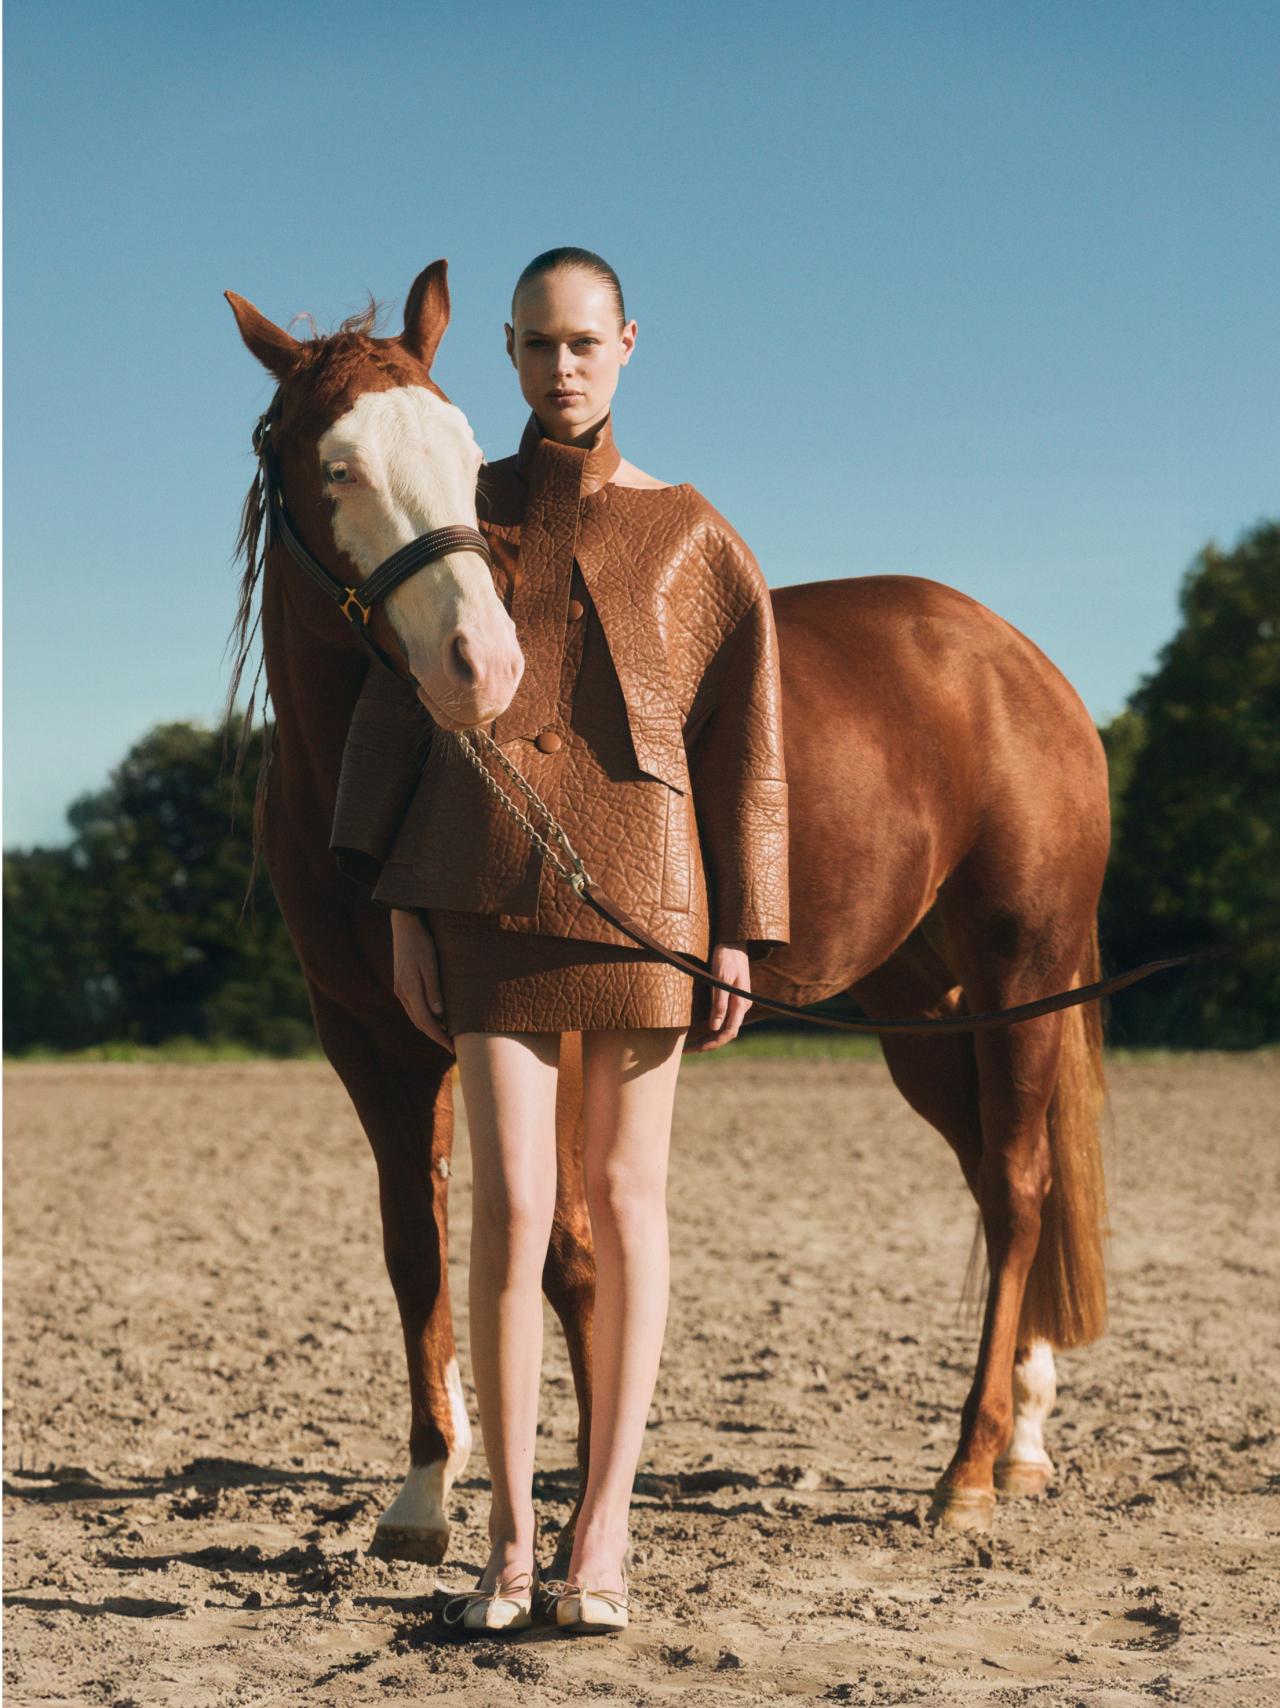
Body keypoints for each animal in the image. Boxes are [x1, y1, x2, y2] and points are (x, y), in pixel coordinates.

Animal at [225, 258, 1110, 1544]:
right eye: (333, 464)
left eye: (463, 450)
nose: (478, 663)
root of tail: (1020, 665)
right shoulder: (371, 1040)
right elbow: (413, 1245)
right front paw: (426, 1488)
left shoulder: (555, 1021)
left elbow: (570, 1254)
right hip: (925, 1013)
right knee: (1002, 1188)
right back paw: (1025, 1436)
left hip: (1023, 971)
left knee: (1018, 1180)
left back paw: (969, 1468)